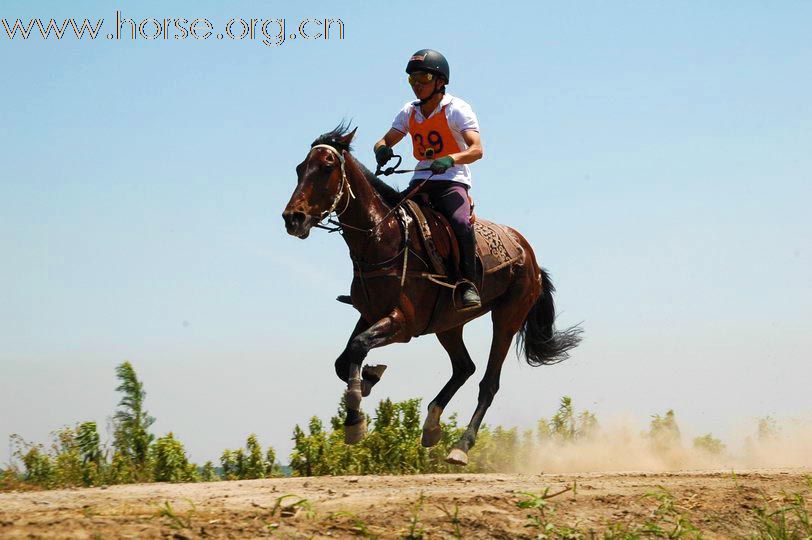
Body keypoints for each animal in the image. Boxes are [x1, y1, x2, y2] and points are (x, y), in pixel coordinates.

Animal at [282, 125, 580, 464]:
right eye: (300, 168)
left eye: (327, 167)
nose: (293, 218)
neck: (382, 238)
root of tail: (529, 255)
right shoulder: (369, 314)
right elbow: (342, 360)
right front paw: (369, 377)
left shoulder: (402, 323)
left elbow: (357, 347)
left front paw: (356, 418)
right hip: (448, 325)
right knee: (464, 367)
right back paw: (432, 425)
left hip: (507, 318)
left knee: (488, 382)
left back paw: (461, 446)